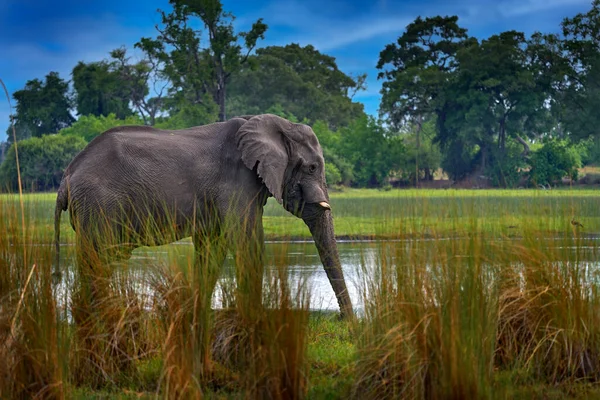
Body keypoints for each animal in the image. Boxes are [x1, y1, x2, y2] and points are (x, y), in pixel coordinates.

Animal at [54, 113, 354, 318]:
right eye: (313, 167)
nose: (343, 319)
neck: (271, 123)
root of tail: (67, 175)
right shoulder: (237, 182)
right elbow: (247, 242)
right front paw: (254, 317)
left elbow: (212, 249)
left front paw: (198, 314)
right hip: (99, 204)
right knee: (99, 258)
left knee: (98, 260)